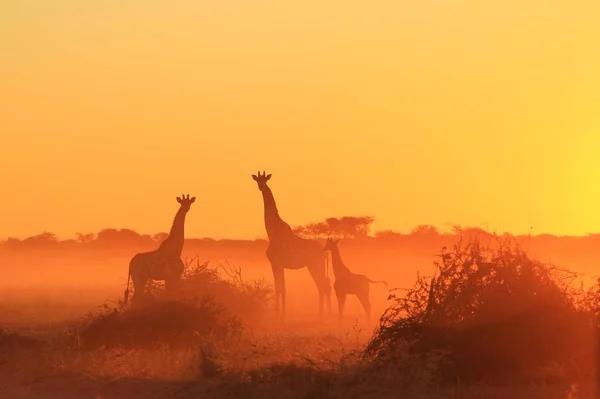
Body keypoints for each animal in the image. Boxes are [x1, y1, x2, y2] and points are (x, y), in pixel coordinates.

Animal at [250, 172, 330, 318]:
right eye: (257, 180)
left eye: (265, 180)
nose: (261, 187)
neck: (272, 233)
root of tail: (324, 251)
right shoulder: (274, 263)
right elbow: (278, 287)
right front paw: (279, 312)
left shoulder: (278, 262)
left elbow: (282, 287)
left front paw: (281, 314)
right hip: (316, 265)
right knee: (325, 284)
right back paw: (325, 313)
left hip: (315, 265)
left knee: (323, 285)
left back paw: (321, 314)